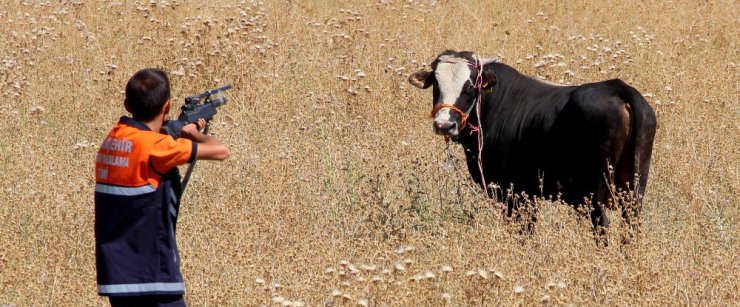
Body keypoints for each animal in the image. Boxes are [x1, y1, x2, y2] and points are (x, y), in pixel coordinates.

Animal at [410, 51, 660, 238]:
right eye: (436, 85)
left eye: (470, 86)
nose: (444, 124)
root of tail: (619, 88)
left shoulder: (514, 193)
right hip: (634, 192)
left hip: (596, 195)